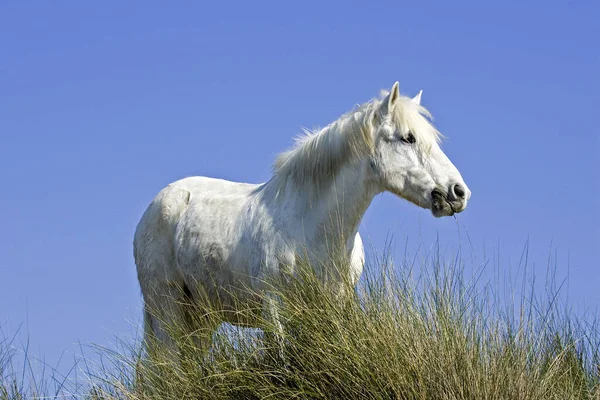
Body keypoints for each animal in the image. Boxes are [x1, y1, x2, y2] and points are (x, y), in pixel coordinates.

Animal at [134, 81, 472, 354]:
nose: (458, 192)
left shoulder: (334, 307)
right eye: (408, 138)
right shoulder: (275, 309)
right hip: (167, 308)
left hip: (201, 317)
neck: (310, 227)